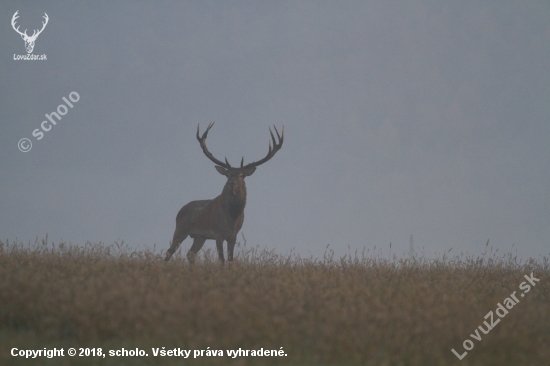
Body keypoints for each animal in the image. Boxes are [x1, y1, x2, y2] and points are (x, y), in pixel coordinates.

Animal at [164, 123, 284, 264]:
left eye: (241, 175)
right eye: (228, 174)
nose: (232, 183)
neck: (232, 216)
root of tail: (180, 210)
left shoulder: (234, 235)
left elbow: (231, 260)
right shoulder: (218, 233)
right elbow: (221, 260)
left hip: (199, 237)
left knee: (190, 254)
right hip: (180, 229)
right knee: (168, 252)